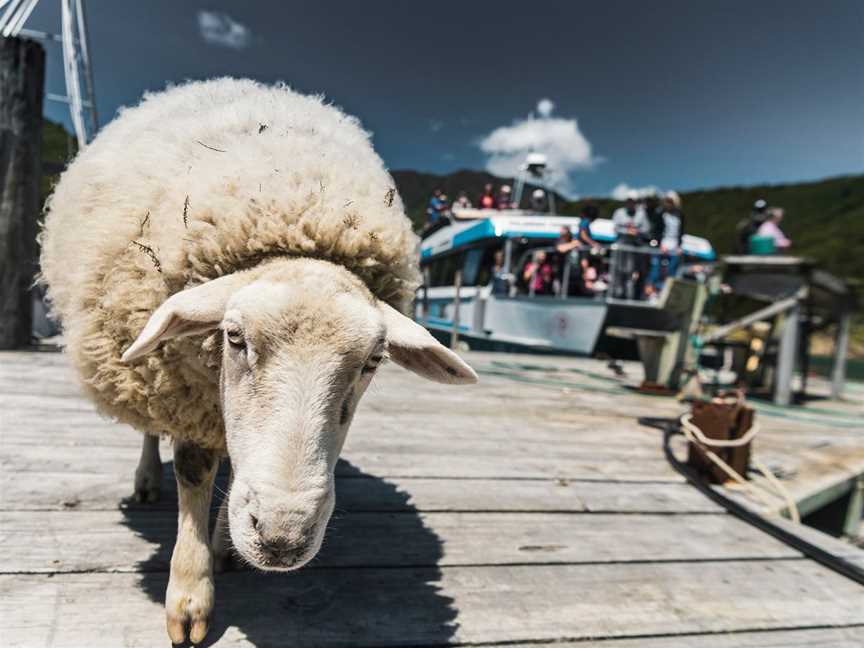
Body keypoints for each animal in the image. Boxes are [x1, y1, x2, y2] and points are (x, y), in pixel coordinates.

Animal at [38, 78, 480, 644]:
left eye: (373, 361)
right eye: (233, 337)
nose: (281, 538)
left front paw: (224, 543)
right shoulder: (184, 392)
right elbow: (194, 469)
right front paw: (190, 593)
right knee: (150, 432)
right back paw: (147, 479)